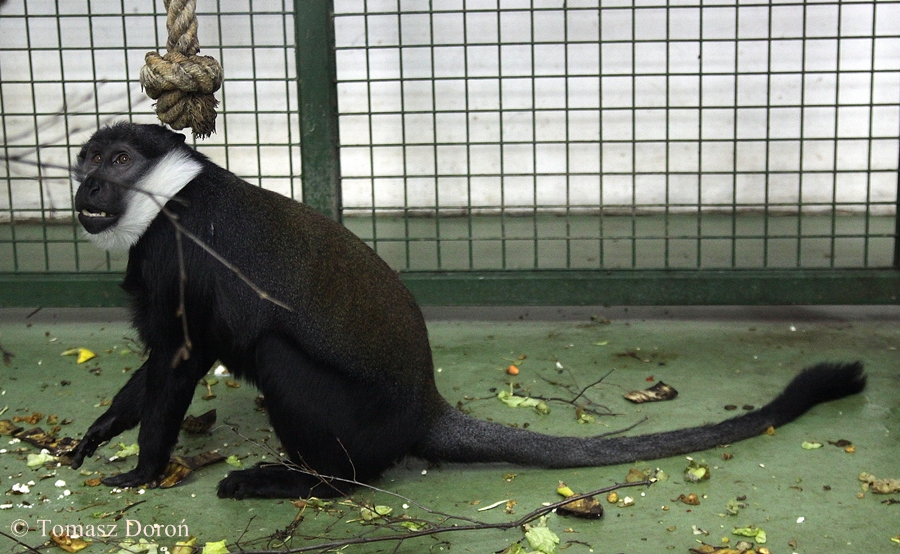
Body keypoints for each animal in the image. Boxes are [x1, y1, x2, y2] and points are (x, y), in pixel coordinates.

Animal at [69, 122, 866, 500]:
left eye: (118, 162)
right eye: (86, 163)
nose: (87, 190)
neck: (164, 199)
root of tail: (424, 407)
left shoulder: (179, 263)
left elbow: (178, 362)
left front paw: (140, 472)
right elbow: (154, 366)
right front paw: (91, 440)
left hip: (353, 421)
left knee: (279, 363)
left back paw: (311, 483)